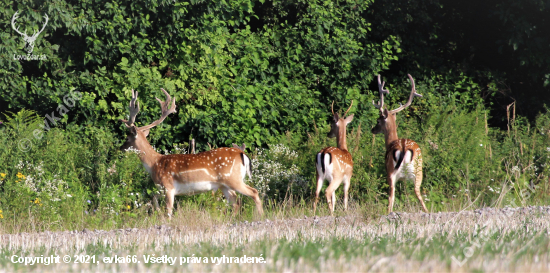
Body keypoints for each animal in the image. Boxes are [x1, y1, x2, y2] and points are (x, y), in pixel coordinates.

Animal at [119, 88, 266, 217]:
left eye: (127, 138)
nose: (120, 148)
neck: (154, 164)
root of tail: (242, 154)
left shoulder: (168, 186)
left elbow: (169, 210)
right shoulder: (163, 188)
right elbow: (154, 198)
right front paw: (158, 213)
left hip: (233, 179)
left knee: (254, 192)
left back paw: (260, 216)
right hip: (224, 184)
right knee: (235, 202)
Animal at [370, 74, 432, 212]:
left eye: (378, 120)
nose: (373, 129)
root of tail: (403, 146)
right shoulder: (404, 179)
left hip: (391, 171)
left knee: (391, 196)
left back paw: (389, 213)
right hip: (418, 170)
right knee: (418, 193)